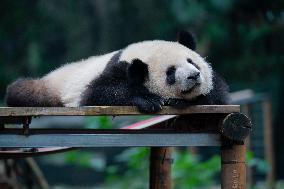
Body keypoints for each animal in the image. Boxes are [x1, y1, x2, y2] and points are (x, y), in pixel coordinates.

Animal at [5, 30, 229, 112]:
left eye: (192, 62)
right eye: (171, 73)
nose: (194, 75)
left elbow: (218, 93)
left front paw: (181, 101)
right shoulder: (116, 69)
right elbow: (97, 93)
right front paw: (149, 100)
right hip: (51, 87)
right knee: (23, 90)